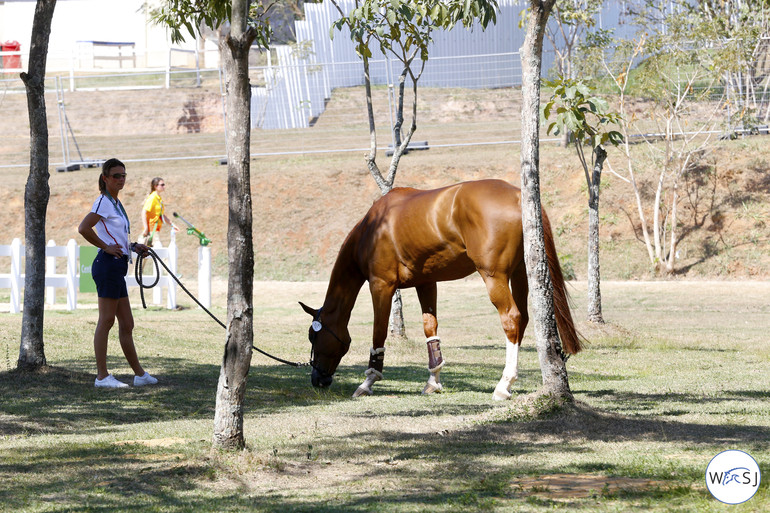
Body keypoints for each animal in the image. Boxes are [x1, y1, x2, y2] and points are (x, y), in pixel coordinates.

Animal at [296, 178, 580, 398]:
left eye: (313, 336)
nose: (317, 379)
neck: (372, 228)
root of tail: (518, 194)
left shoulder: (381, 286)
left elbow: (379, 334)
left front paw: (368, 382)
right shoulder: (426, 283)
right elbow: (430, 330)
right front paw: (433, 381)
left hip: (495, 277)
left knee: (511, 318)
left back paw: (504, 384)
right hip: (521, 274)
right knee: (523, 319)